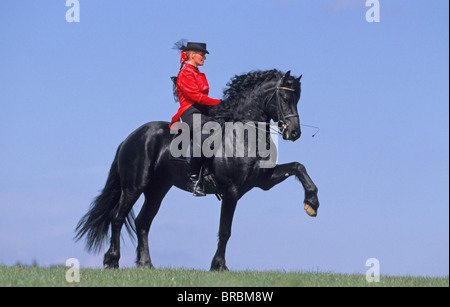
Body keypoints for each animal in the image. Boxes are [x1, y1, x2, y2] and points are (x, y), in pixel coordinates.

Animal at [75, 70, 318, 272]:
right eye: (284, 98)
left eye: (297, 98)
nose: (294, 132)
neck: (244, 133)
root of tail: (131, 137)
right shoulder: (231, 190)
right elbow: (225, 230)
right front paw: (219, 266)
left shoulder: (264, 180)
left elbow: (298, 167)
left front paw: (311, 203)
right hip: (134, 186)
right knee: (117, 217)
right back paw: (112, 261)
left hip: (157, 190)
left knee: (142, 222)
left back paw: (146, 264)